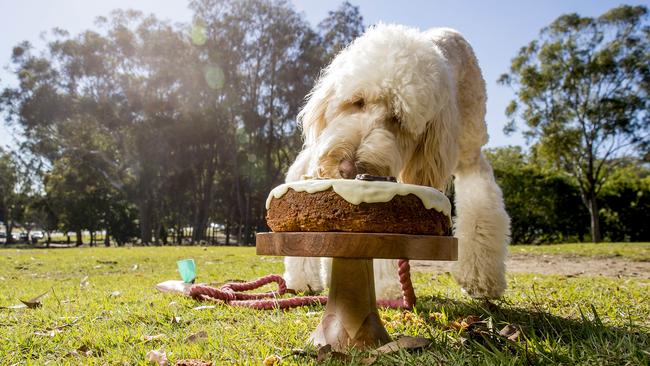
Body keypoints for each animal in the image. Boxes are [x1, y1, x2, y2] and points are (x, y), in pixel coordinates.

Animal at [280, 22, 508, 298]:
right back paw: (303, 279)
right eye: (357, 101)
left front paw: (479, 279)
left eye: (398, 119)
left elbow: (482, 209)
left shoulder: (470, 161)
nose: (347, 168)